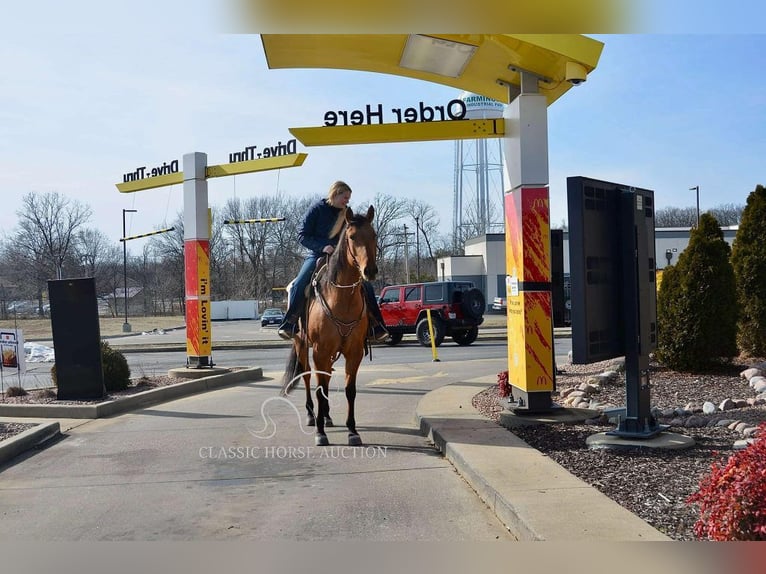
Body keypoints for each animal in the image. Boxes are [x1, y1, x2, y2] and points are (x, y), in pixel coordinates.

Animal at [280, 207, 380, 450]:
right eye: (352, 237)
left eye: (374, 235)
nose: (370, 271)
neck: (341, 298)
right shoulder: (320, 351)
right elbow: (320, 389)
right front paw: (320, 433)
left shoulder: (354, 351)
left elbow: (349, 390)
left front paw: (352, 431)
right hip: (302, 346)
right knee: (308, 378)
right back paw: (312, 416)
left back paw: (326, 416)